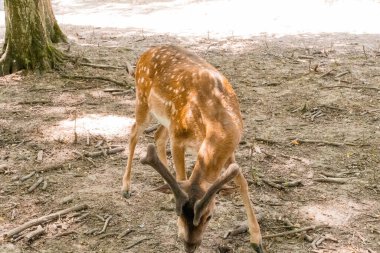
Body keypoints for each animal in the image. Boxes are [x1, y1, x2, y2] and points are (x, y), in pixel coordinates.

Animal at [121, 45, 264, 253]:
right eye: (178, 213)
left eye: (210, 216)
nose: (190, 245)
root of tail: (144, 54)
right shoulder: (178, 138)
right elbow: (183, 176)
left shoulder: (229, 150)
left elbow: (241, 181)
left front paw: (256, 240)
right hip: (143, 100)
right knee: (133, 133)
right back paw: (125, 187)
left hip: (166, 118)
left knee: (157, 136)